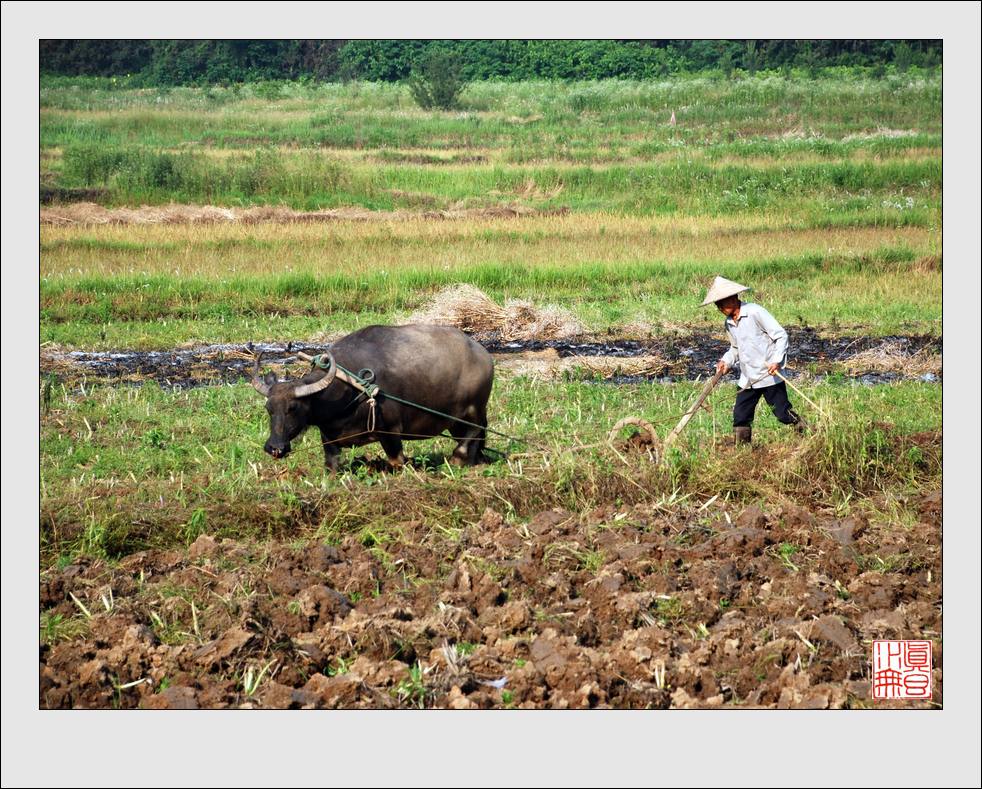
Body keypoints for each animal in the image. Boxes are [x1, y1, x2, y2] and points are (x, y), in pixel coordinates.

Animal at [250, 324, 496, 470]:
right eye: (269, 409)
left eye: (293, 408)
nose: (275, 448)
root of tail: (482, 354)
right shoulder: (328, 437)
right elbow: (331, 464)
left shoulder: (391, 431)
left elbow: (397, 461)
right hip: (454, 420)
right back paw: (473, 461)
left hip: (474, 408)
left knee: (474, 431)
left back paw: (458, 458)